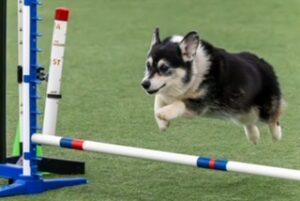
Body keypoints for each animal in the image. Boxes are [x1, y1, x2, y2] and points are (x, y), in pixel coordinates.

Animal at [141, 28, 284, 144]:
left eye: (164, 68)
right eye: (148, 66)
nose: (144, 84)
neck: (195, 72)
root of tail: (266, 64)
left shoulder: (199, 104)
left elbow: (179, 103)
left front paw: (163, 113)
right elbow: (159, 99)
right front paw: (162, 124)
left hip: (264, 109)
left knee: (274, 117)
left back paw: (277, 135)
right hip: (240, 111)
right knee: (249, 121)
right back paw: (253, 137)